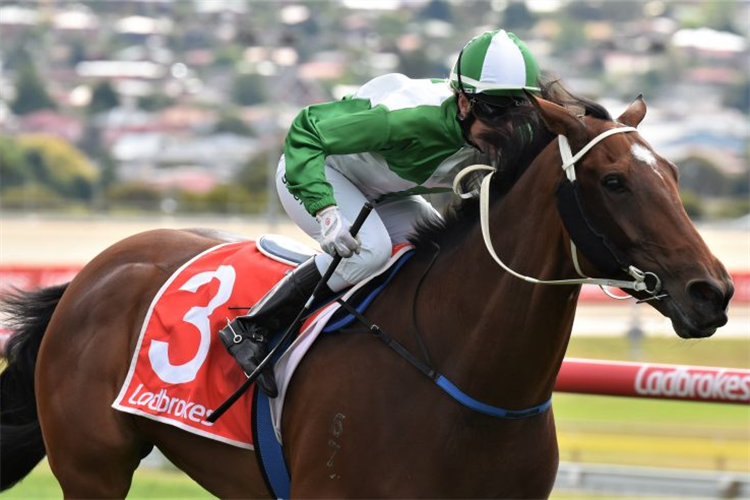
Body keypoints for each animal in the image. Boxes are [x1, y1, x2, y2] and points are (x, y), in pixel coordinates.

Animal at [0, 94, 736, 500]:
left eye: (674, 174)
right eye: (614, 181)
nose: (714, 291)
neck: (465, 380)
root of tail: (92, 272)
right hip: (92, 470)